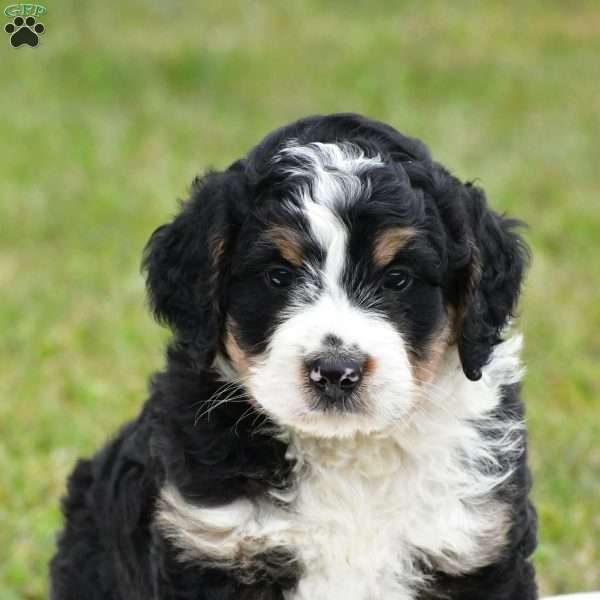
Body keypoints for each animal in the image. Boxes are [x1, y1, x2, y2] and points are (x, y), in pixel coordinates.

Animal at [50, 113, 540, 600]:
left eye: (398, 278)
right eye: (278, 276)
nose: (336, 372)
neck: (347, 453)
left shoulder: (476, 543)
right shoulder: (212, 543)